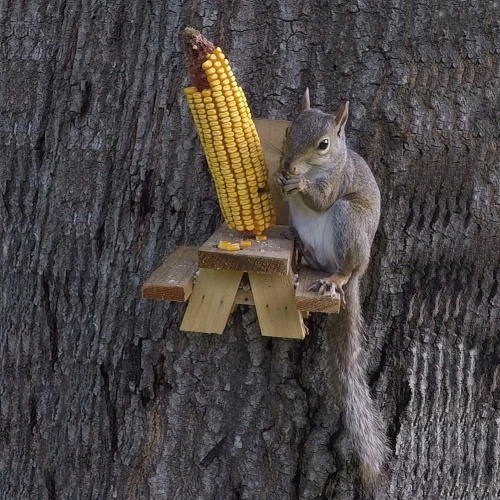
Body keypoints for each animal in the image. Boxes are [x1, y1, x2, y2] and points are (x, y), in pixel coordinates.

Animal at [274, 90, 390, 492]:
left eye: (323, 145)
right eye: (289, 128)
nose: (288, 166)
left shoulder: (337, 183)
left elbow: (320, 199)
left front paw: (300, 187)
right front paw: (274, 176)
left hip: (348, 224)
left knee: (344, 268)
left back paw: (336, 280)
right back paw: (301, 251)